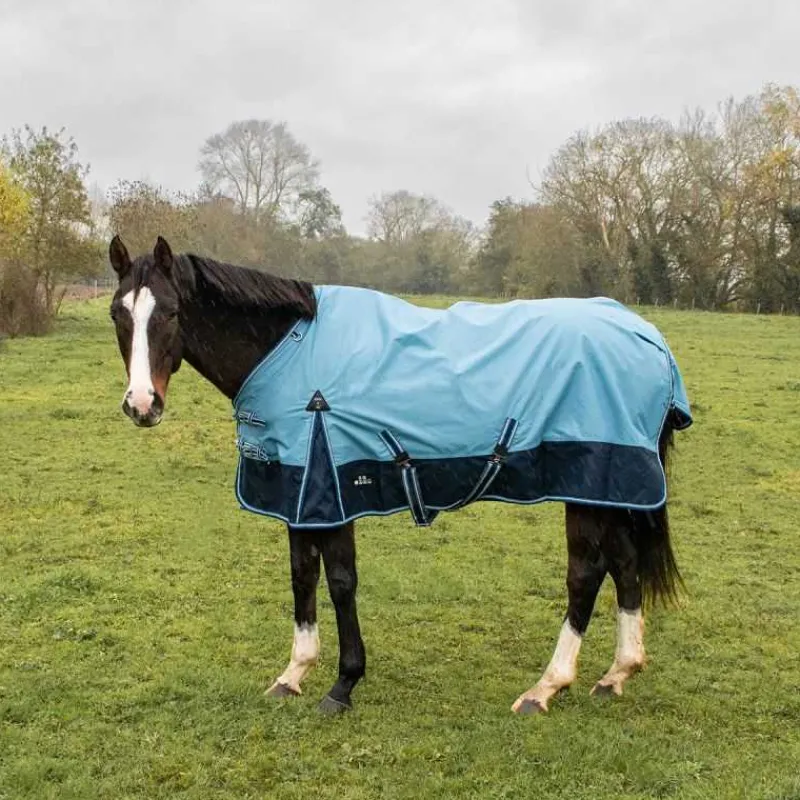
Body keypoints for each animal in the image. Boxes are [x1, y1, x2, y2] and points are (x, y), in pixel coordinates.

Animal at [107, 235, 692, 715]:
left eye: (171, 313)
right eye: (119, 314)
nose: (141, 405)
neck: (288, 349)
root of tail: (646, 336)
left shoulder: (329, 489)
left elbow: (340, 581)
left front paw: (343, 684)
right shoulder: (297, 495)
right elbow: (302, 575)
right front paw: (292, 675)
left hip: (588, 484)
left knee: (587, 573)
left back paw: (546, 686)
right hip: (611, 488)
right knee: (625, 563)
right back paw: (616, 674)